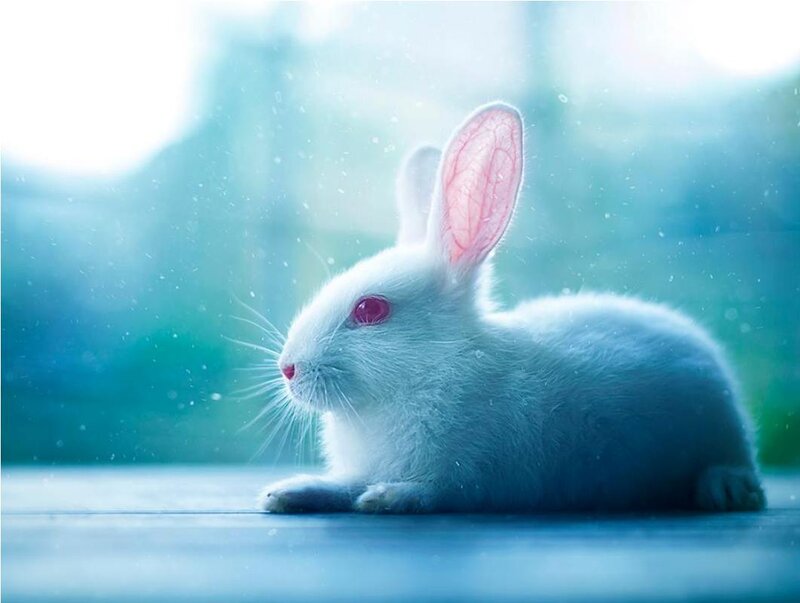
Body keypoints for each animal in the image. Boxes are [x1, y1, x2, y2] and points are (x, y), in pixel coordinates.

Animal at [259, 102, 766, 514]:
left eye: (370, 310)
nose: (288, 368)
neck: (433, 366)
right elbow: (342, 486)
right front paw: (289, 491)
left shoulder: (469, 475)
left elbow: (432, 492)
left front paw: (387, 498)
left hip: (722, 431)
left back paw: (726, 489)